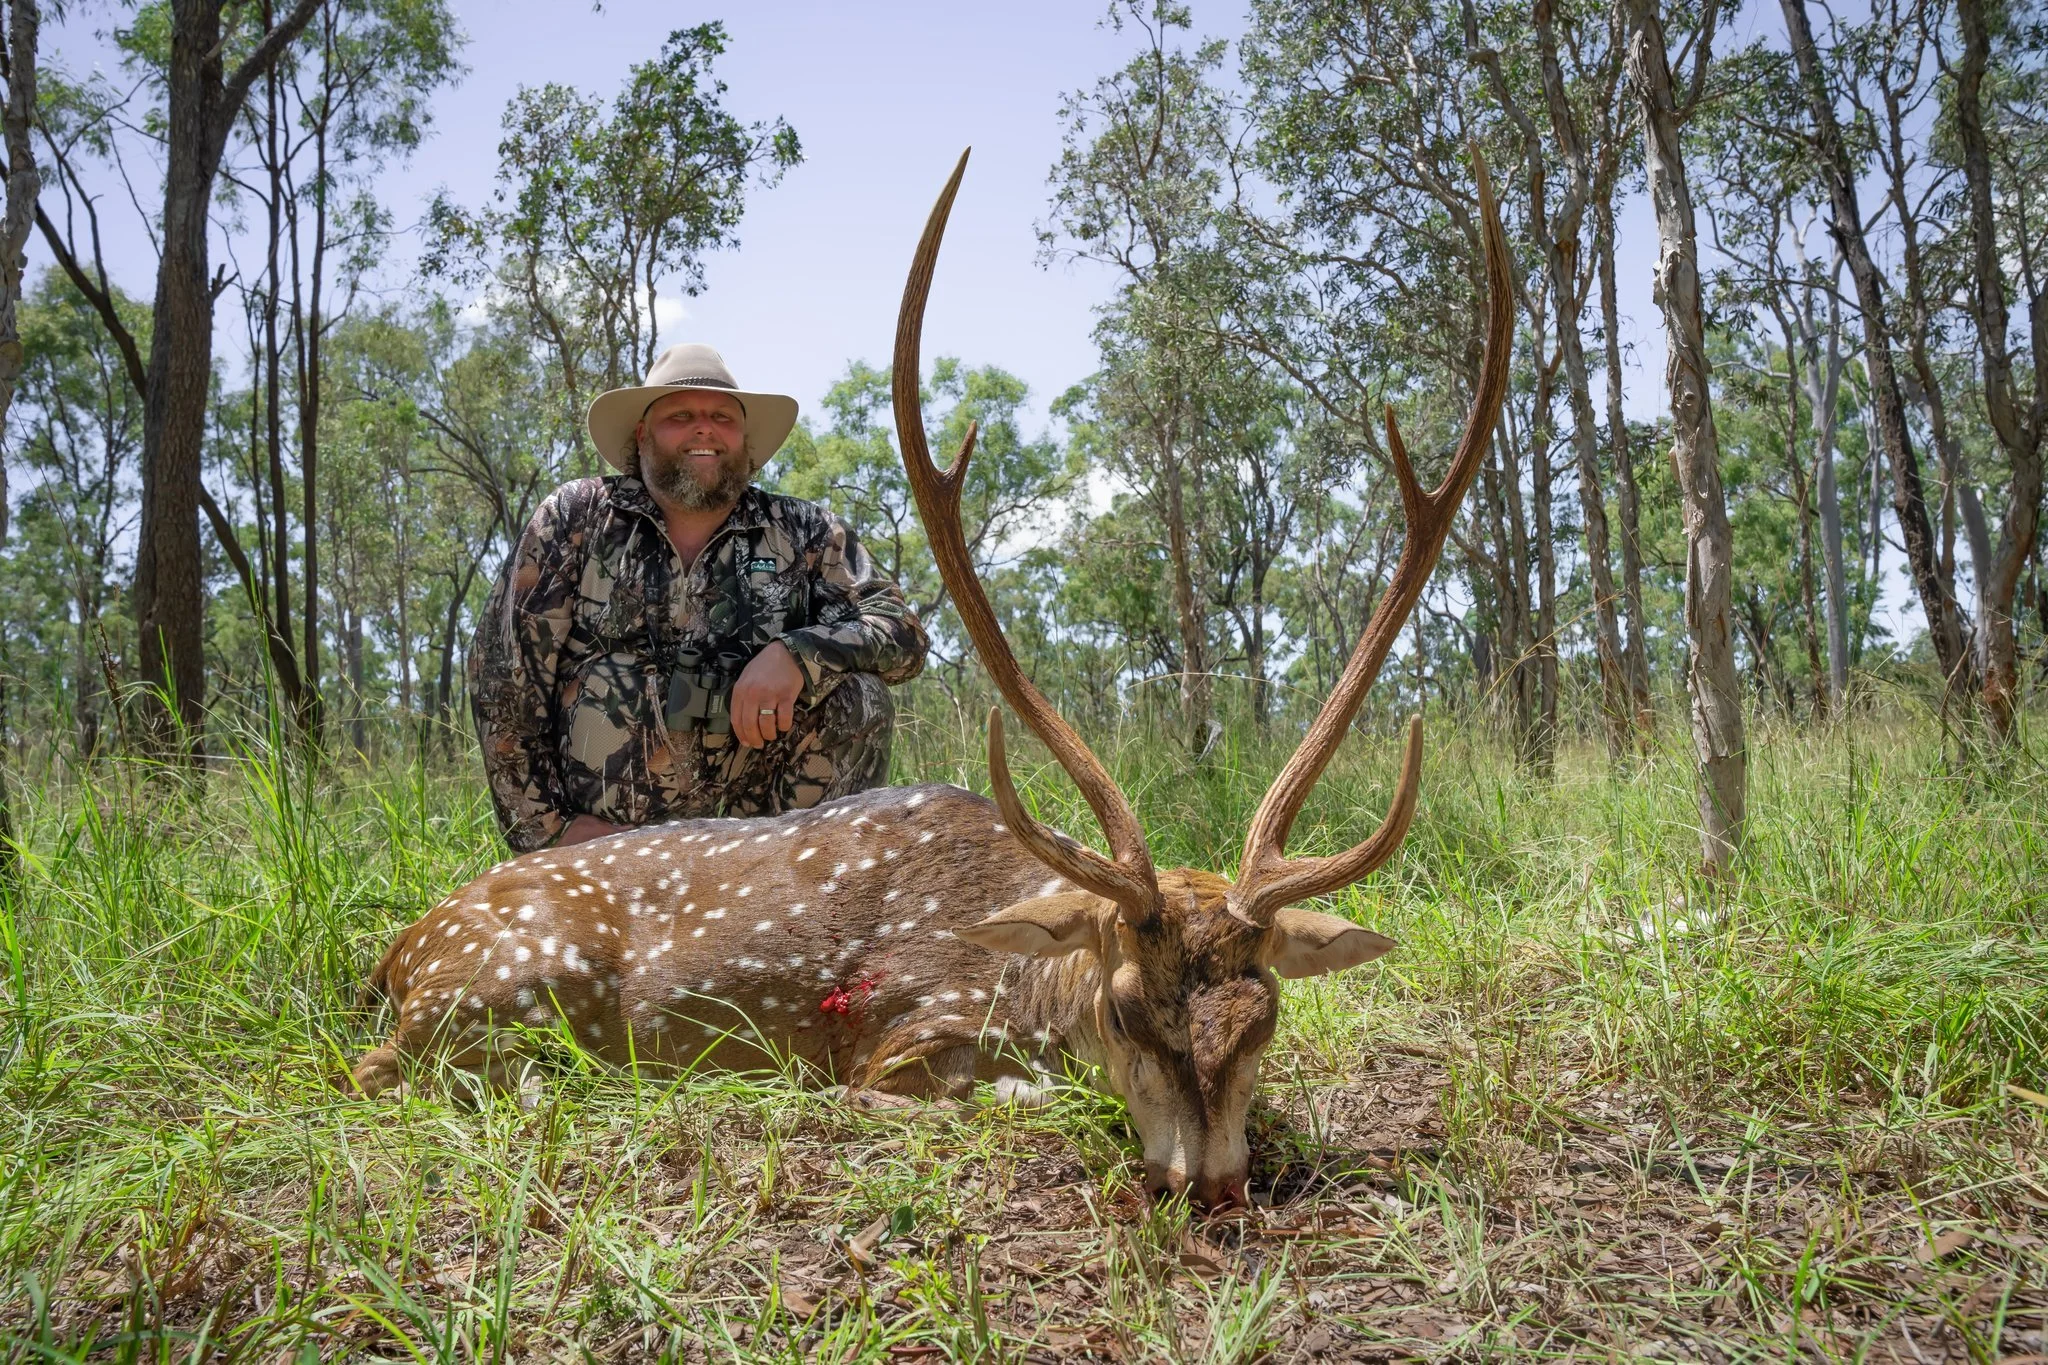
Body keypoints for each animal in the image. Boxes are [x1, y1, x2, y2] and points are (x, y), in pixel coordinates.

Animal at [349, 148, 1511, 1209]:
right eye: (1123, 1009)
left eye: (1264, 1014)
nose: (1207, 1182)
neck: (1032, 979)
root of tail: (400, 948)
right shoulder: (906, 1029)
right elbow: (1003, 1090)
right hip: (501, 982)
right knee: (384, 1072)